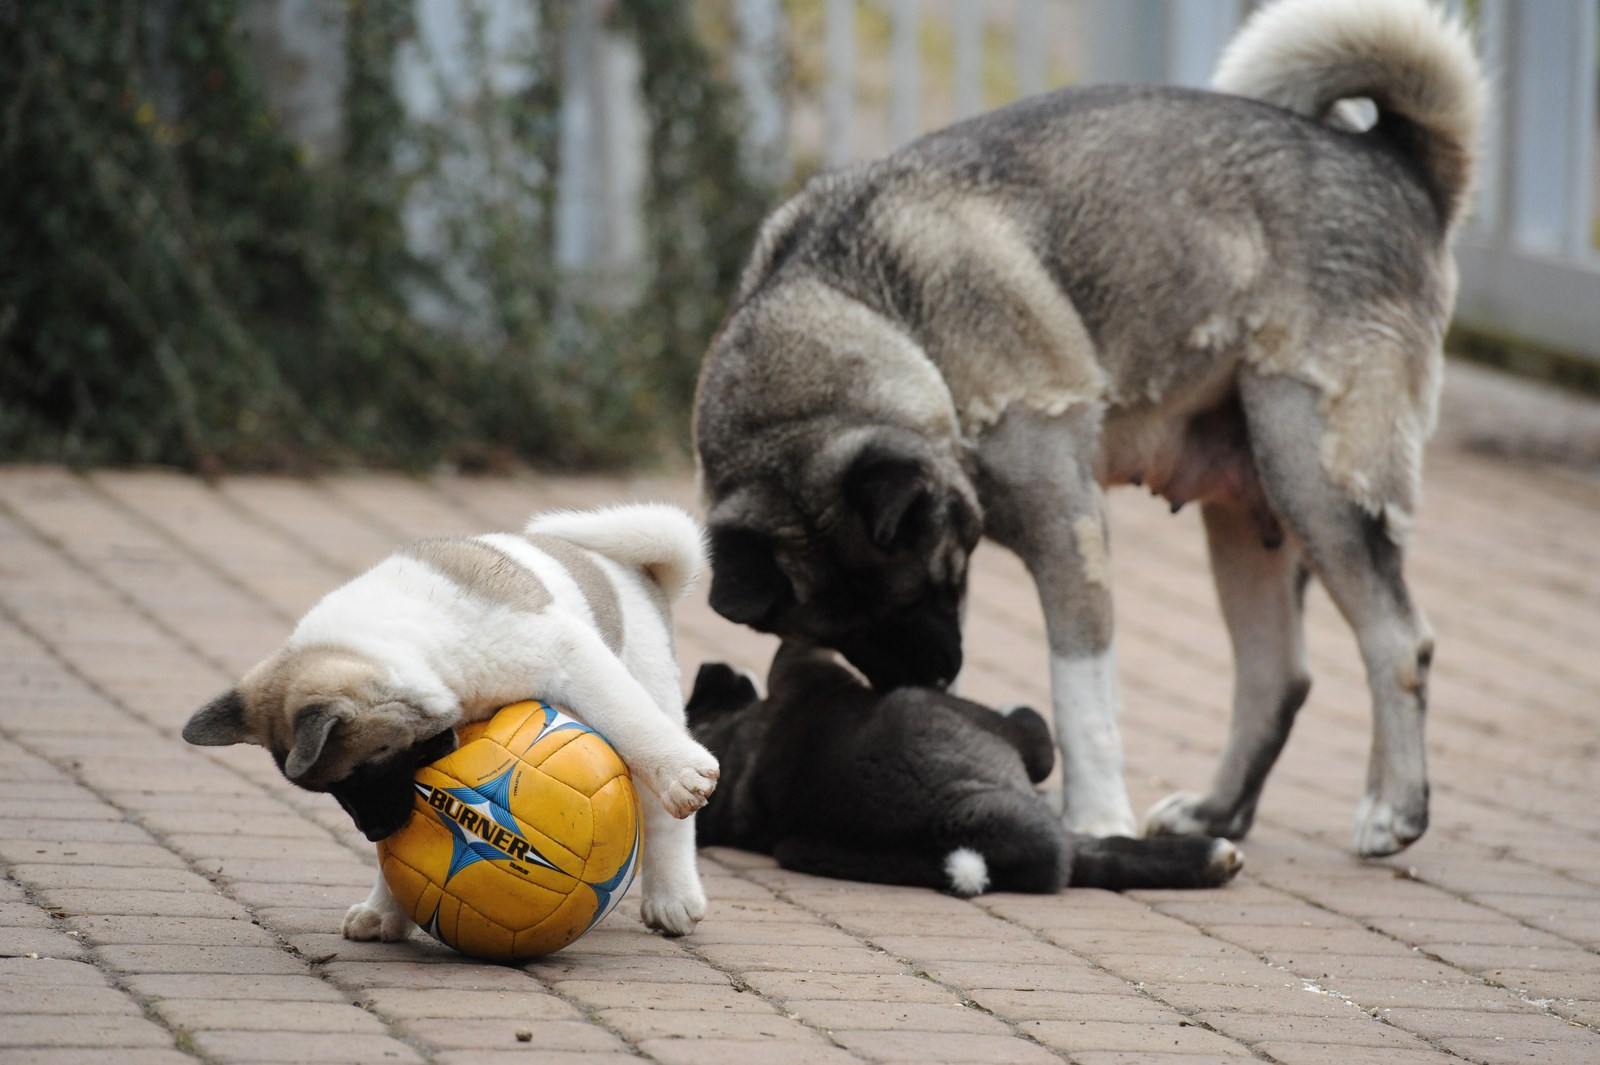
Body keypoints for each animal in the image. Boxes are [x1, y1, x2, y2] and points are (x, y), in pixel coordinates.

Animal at [180, 502, 720, 933]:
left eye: (359, 772)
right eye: (334, 789)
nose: (373, 831)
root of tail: (642, 574)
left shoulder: (570, 657)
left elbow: (629, 718)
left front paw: (682, 774)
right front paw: (386, 910)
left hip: (651, 680)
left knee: (662, 807)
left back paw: (673, 895)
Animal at [697, 0, 1484, 857]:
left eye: (929, 584)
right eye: (841, 629)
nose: (930, 679)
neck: (880, 312)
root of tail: (1396, 161)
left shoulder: (1068, 537)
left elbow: (1083, 696)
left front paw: (1098, 818)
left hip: (1315, 474)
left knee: (1397, 642)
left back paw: (1393, 809)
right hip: (1250, 512)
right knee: (1277, 675)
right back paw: (1215, 813)